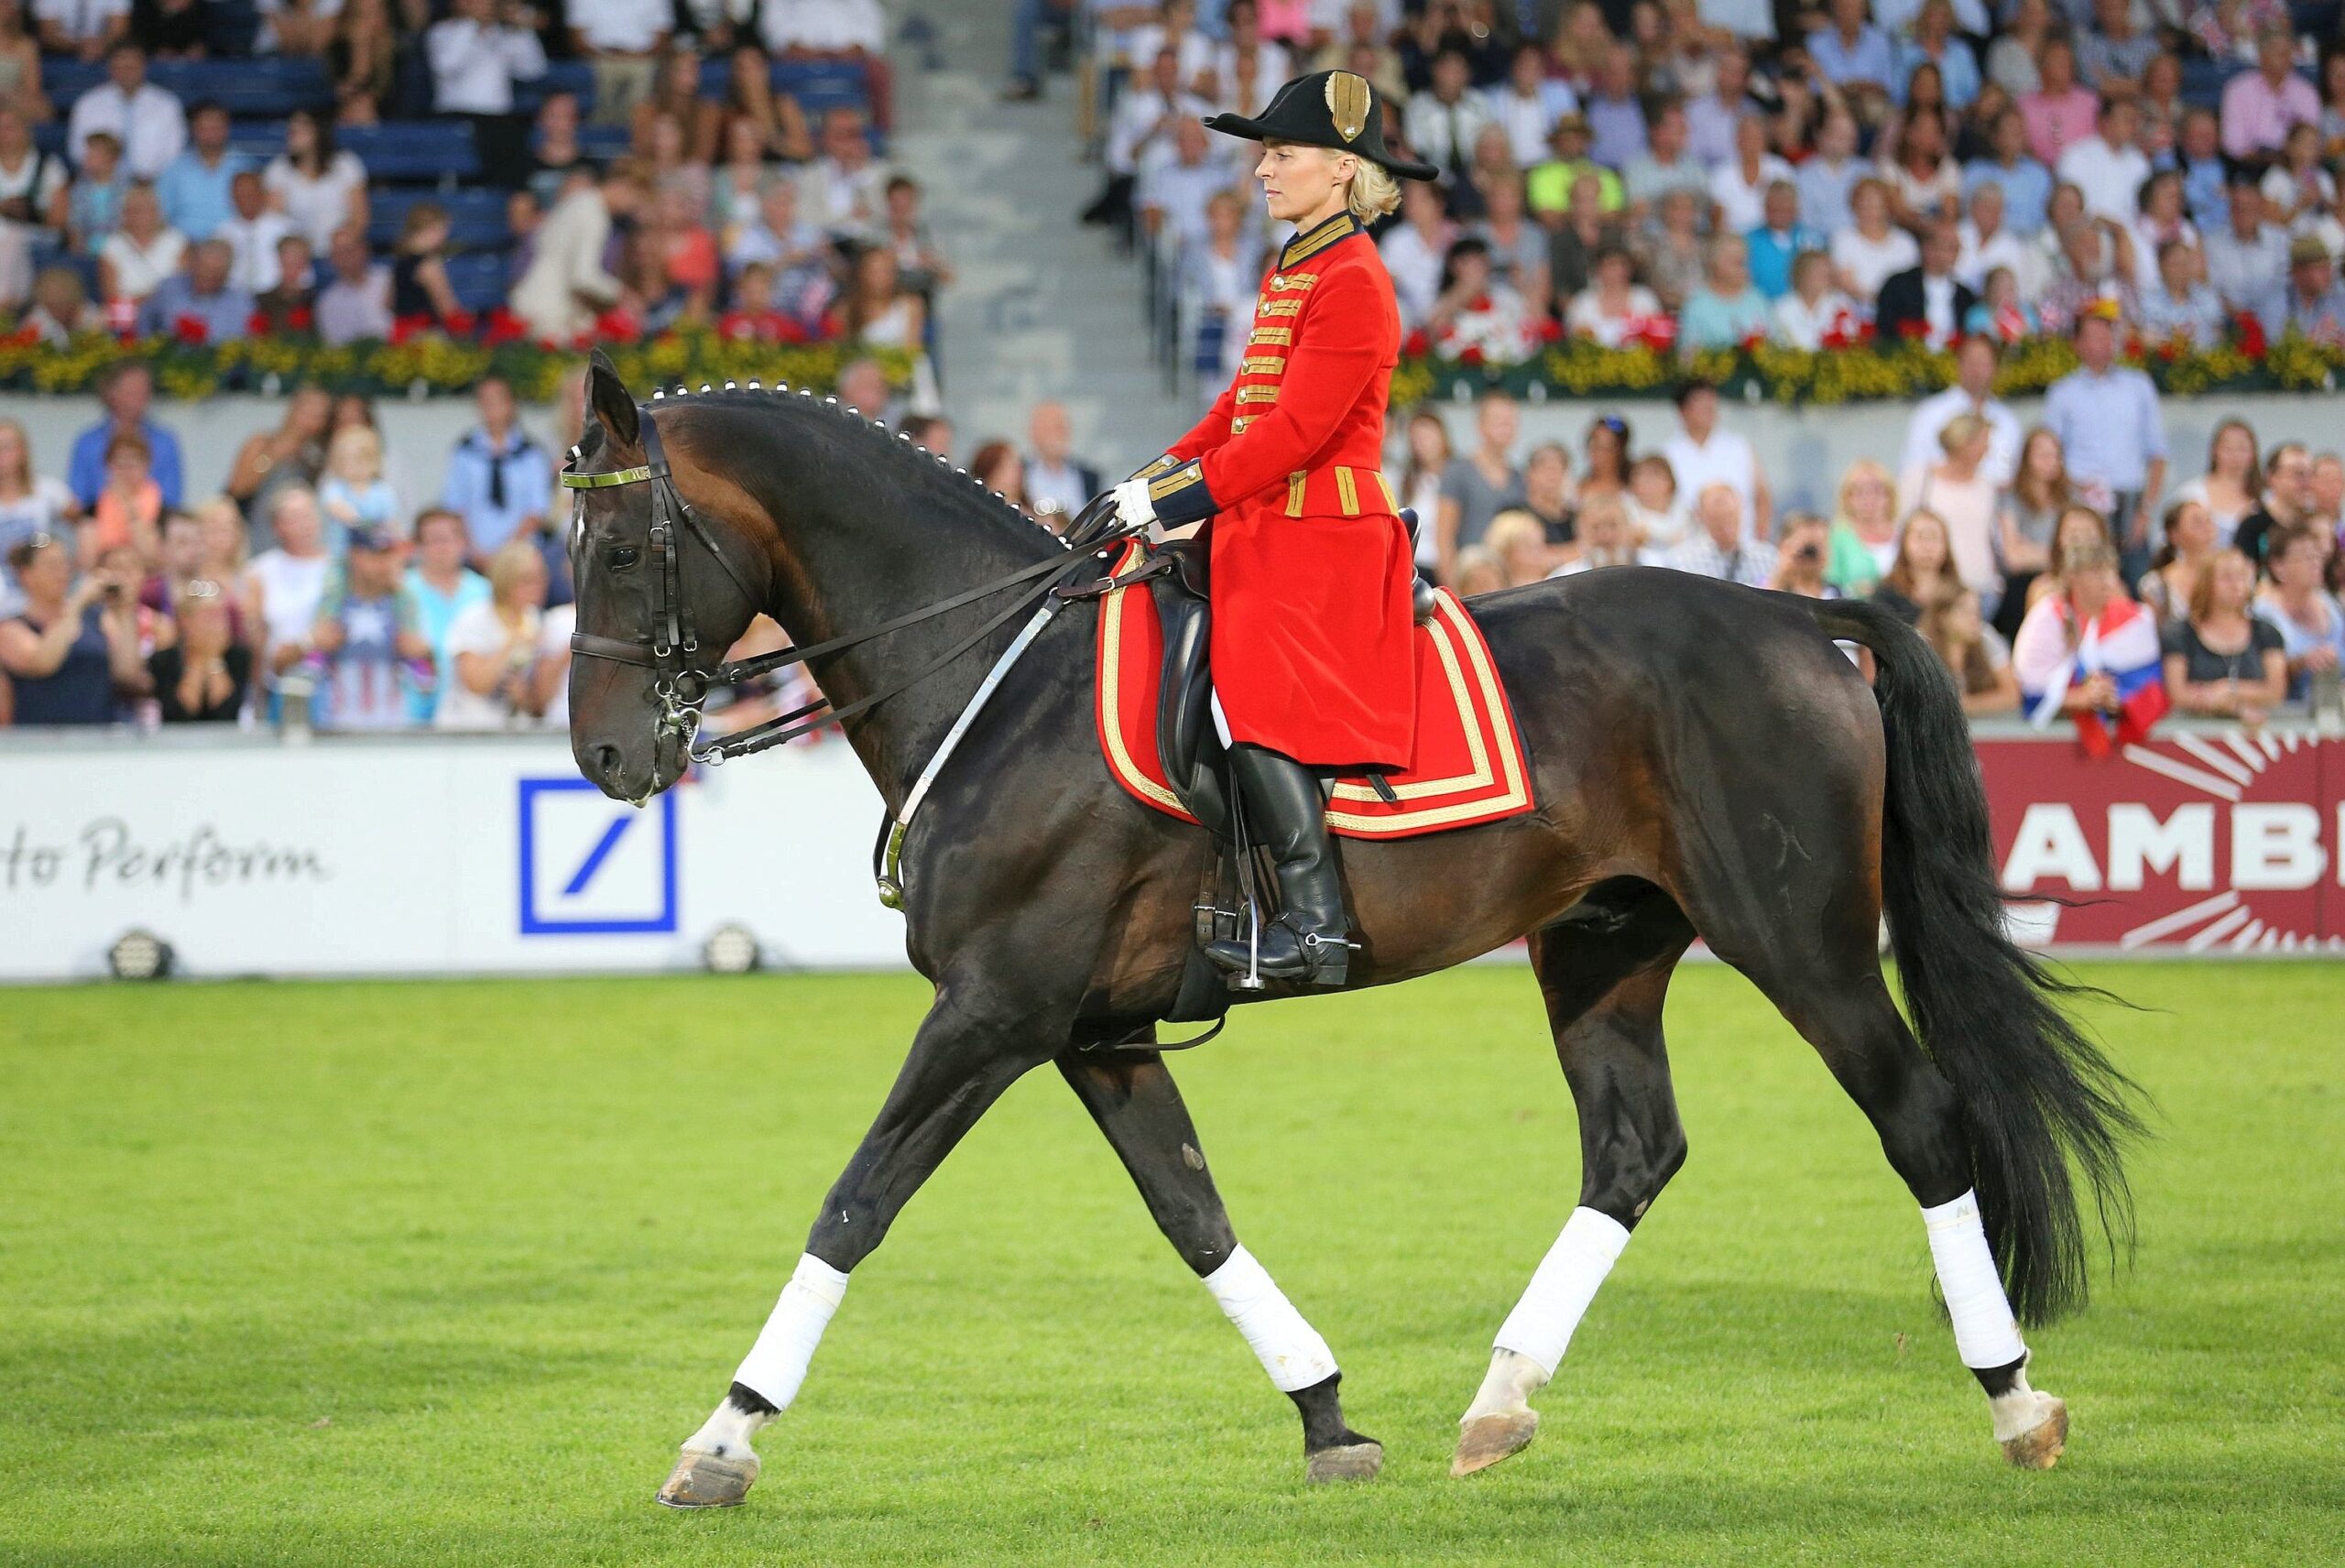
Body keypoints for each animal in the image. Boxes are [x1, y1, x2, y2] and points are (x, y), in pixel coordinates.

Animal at [558, 358, 2138, 1499]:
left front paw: (725, 1436)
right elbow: (1194, 1213)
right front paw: (1326, 1416)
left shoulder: (995, 1013)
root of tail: (1798, 614)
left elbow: (855, 1202)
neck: (1005, 678)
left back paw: (2015, 1400)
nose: (606, 759)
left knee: (1920, 1121)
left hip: (1800, 940)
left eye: (623, 548)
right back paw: (1499, 1402)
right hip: (1604, 944)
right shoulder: (1092, 1030)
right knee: (1633, 1152)